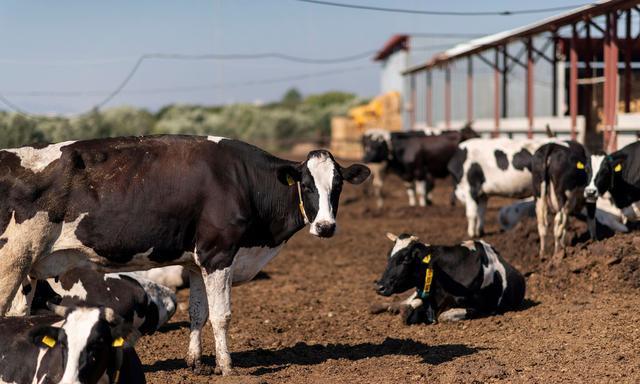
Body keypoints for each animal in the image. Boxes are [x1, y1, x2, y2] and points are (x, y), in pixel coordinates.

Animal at [370, 234, 524, 324]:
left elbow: (444, 315)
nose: (379, 286)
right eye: (388, 256)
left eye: (406, 258)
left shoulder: (484, 307)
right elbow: (410, 308)